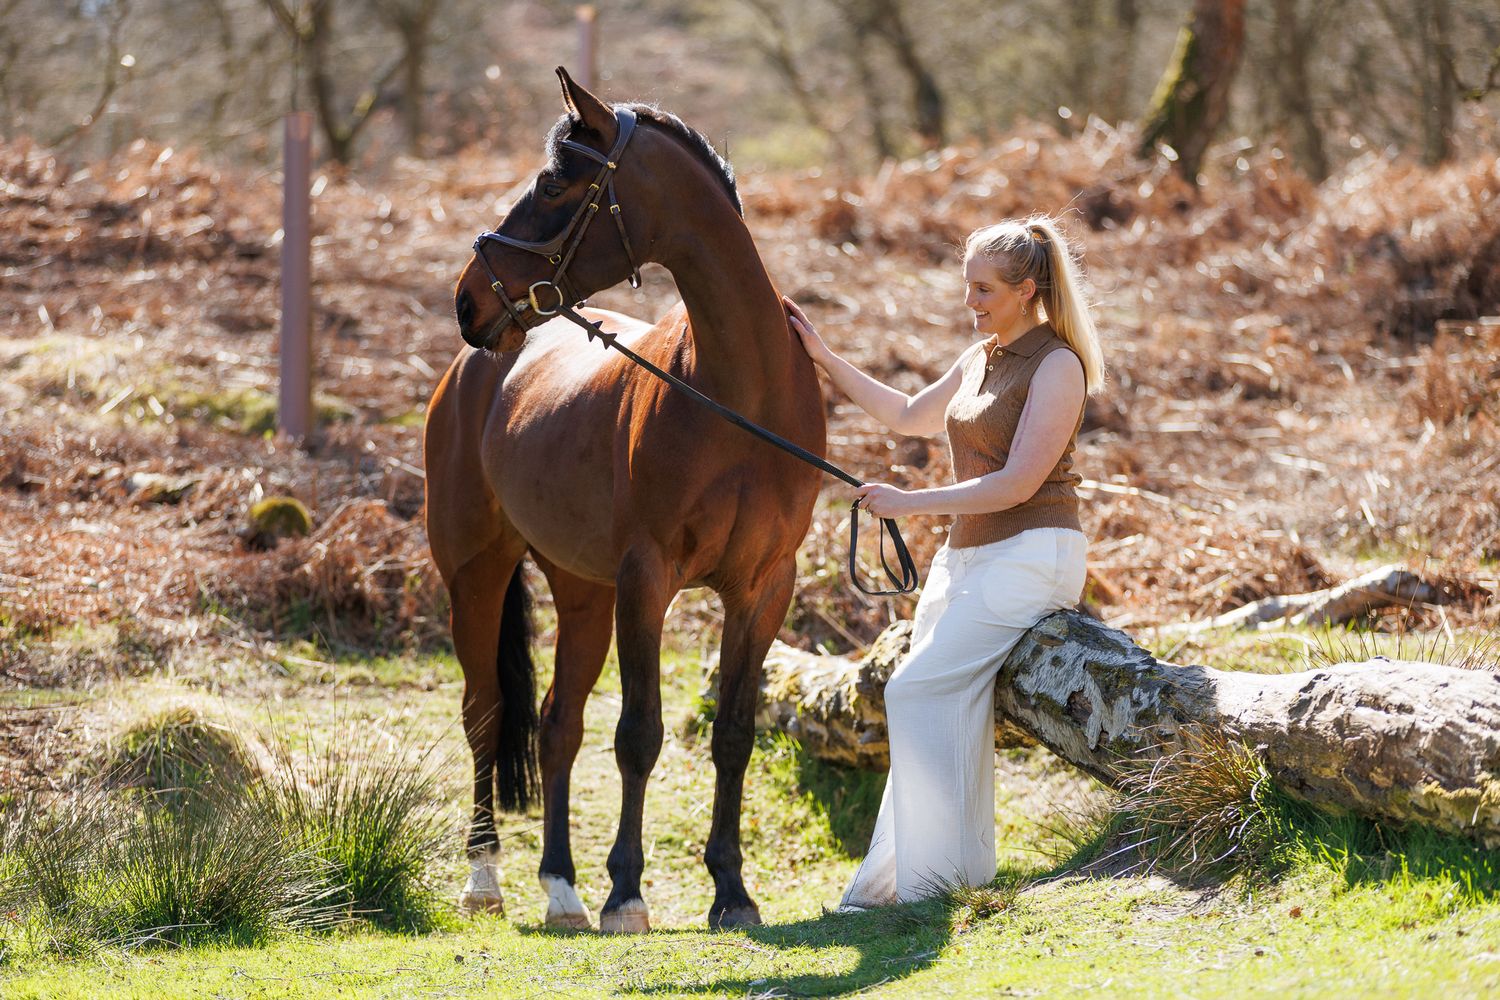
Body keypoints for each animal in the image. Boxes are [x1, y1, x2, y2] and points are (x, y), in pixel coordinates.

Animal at [424, 68, 826, 932]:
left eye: (553, 184)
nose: (469, 300)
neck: (737, 395)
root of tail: (475, 368)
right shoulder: (648, 580)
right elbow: (640, 734)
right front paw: (627, 892)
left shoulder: (763, 588)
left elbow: (733, 735)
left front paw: (732, 892)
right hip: (476, 572)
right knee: (484, 712)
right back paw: (487, 878)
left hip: (582, 593)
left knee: (555, 726)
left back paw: (560, 888)